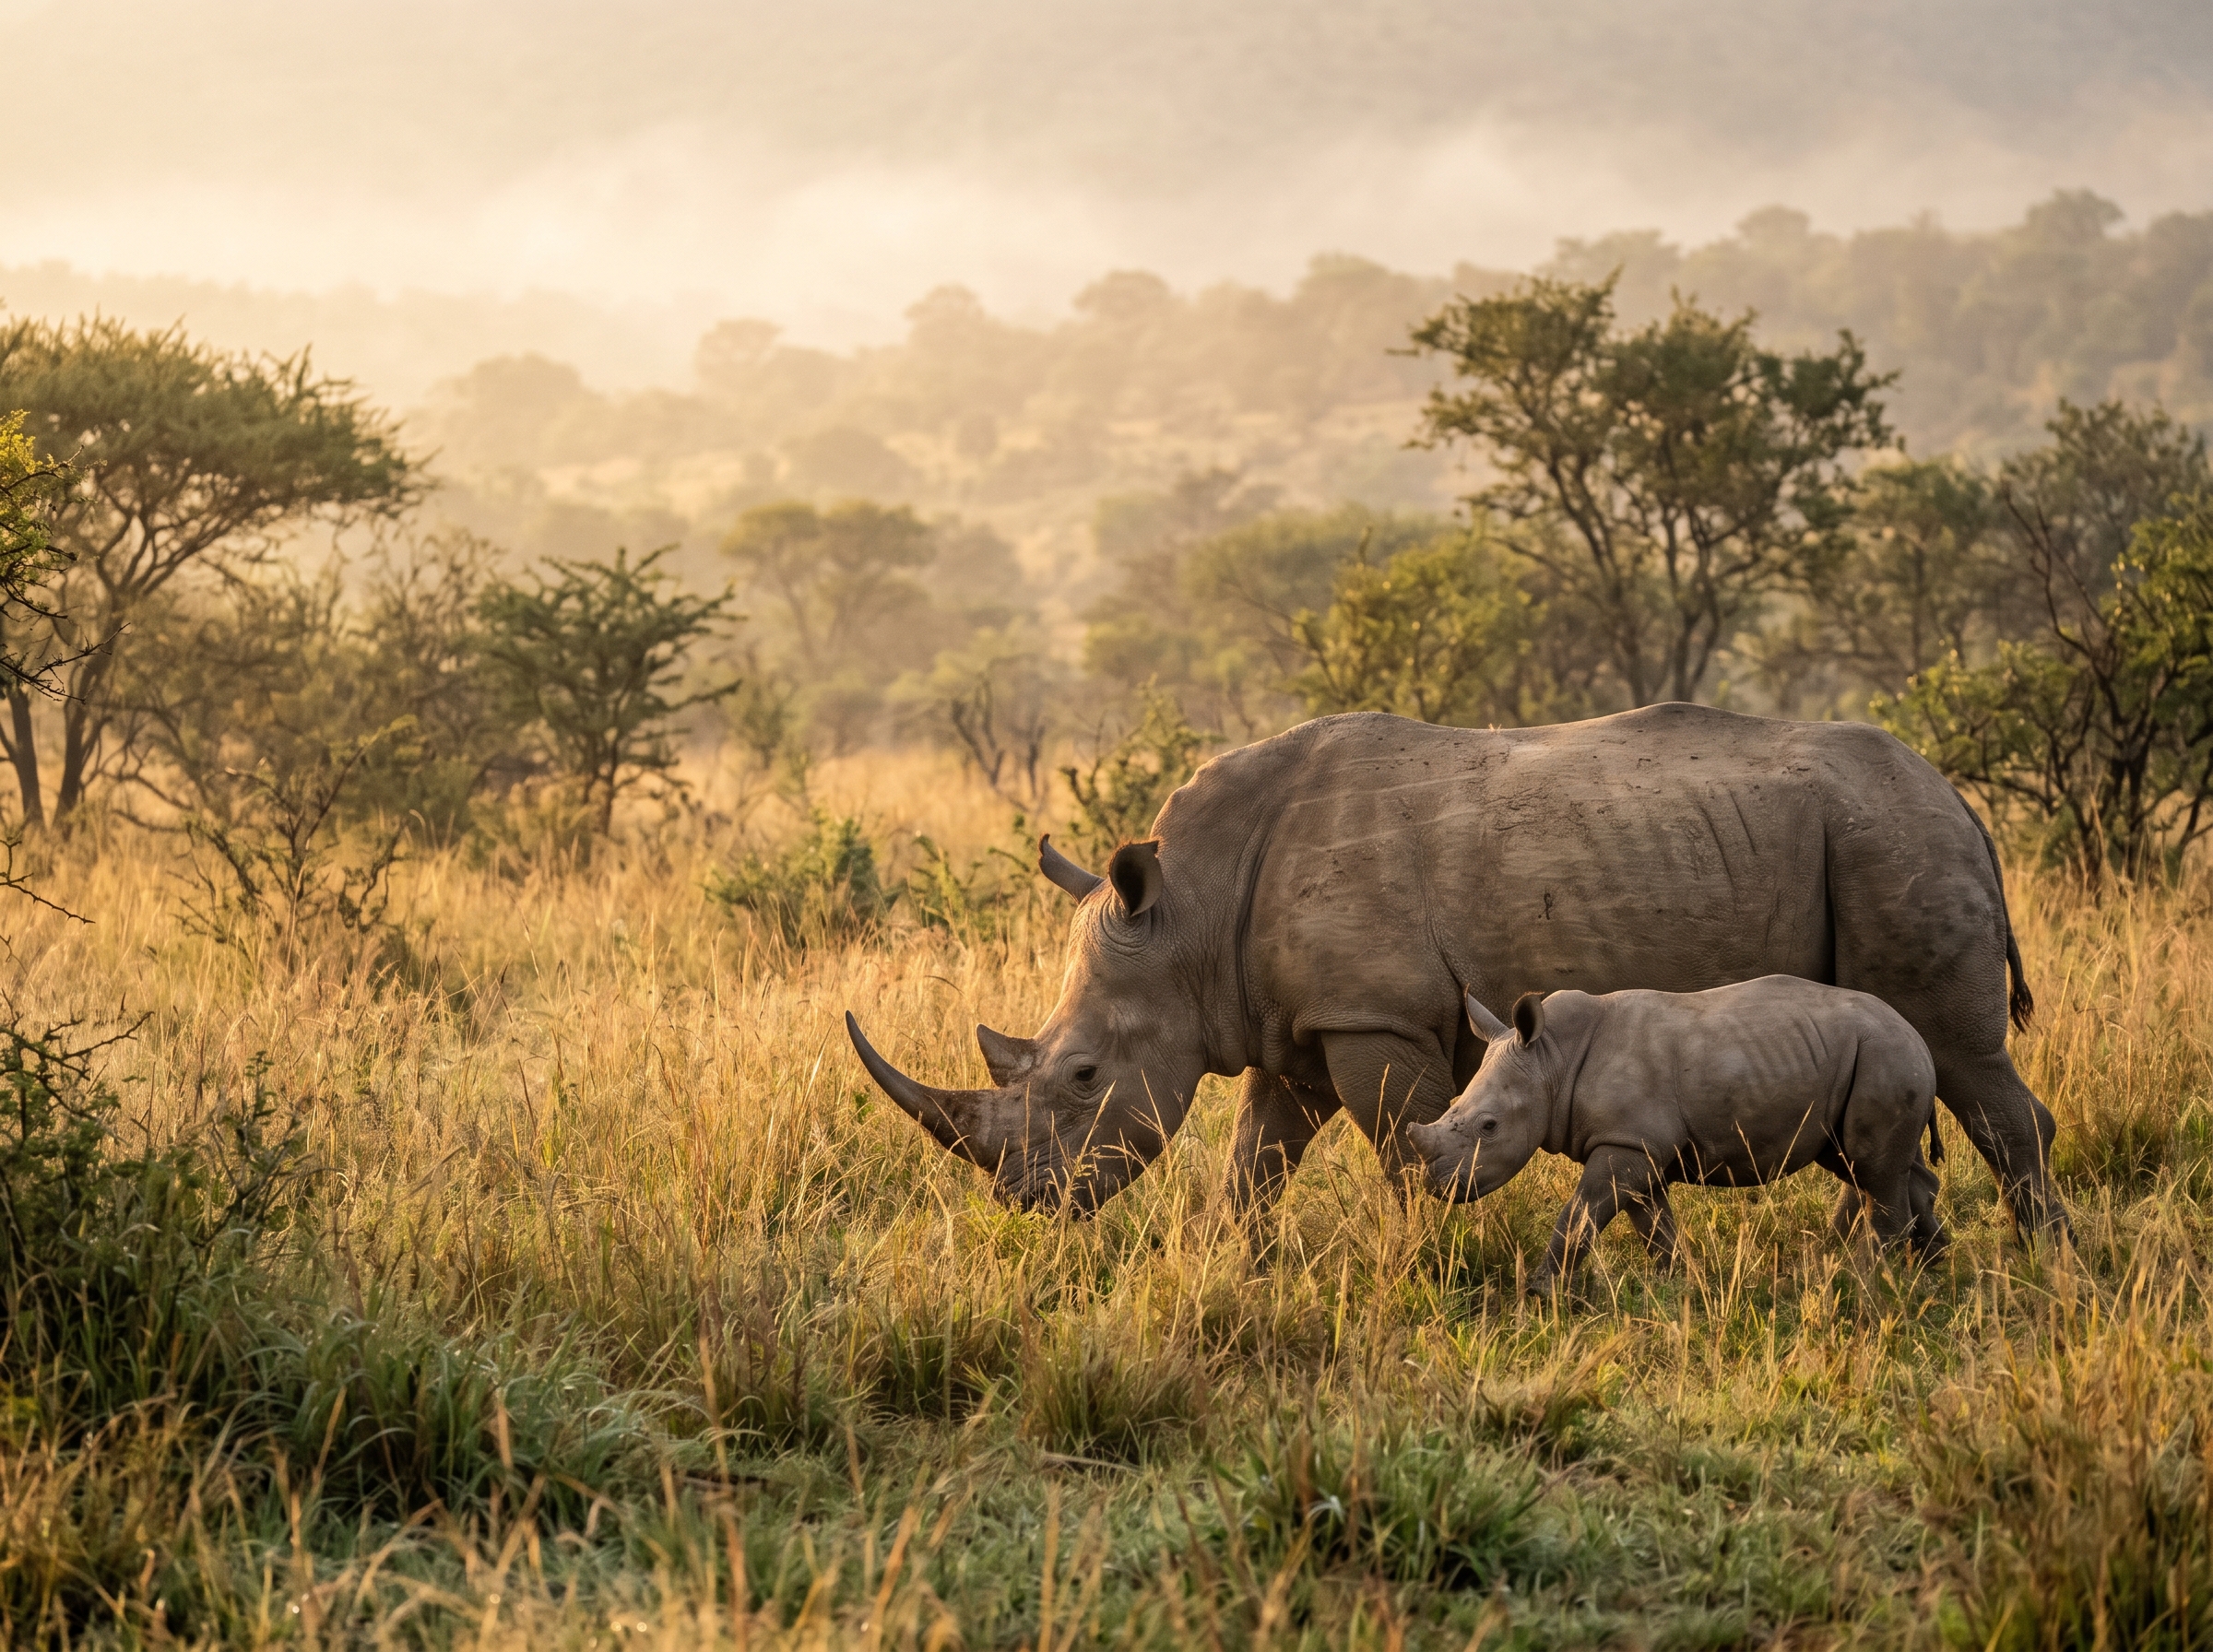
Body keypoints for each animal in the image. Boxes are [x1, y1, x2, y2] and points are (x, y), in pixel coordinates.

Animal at [845, 705, 2066, 1239]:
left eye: (1084, 1076)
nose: (1024, 1202)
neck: (1187, 910)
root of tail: (1959, 795)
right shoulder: (1297, 1022)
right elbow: (1256, 1160)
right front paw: (1231, 1265)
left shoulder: (1372, 1016)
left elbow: (1400, 1144)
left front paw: (1433, 1265)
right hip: (1884, 837)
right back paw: (1904, 1254)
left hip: (1894, 841)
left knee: (1958, 1056)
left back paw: (2034, 1271)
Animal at [1405, 979, 1945, 1292]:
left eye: (1489, 1127)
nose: (1436, 1185)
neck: (1552, 1058)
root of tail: (1916, 1034)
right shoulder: (1637, 1145)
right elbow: (1652, 1223)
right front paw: (1676, 1284)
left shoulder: (1626, 1142)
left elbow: (1580, 1213)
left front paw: (1540, 1292)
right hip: (1867, 1056)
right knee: (1864, 1163)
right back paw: (1930, 1266)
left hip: (1885, 1054)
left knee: (1873, 1167)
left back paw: (1871, 1278)